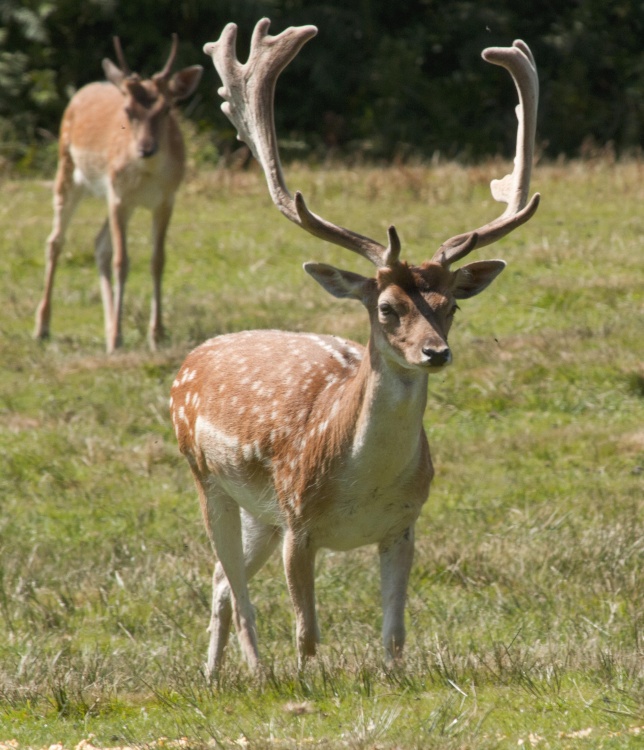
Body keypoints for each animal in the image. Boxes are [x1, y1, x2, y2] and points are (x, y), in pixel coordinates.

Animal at [34, 35, 203, 353]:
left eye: (167, 110)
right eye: (128, 111)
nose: (146, 148)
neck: (148, 175)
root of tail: (84, 89)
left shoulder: (166, 199)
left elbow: (157, 260)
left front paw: (156, 335)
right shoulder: (118, 195)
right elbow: (122, 262)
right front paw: (116, 338)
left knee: (99, 244)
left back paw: (109, 324)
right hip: (67, 169)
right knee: (55, 240)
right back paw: (43, 327)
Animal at [170, 18, 539, 676]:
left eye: (452, 306)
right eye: (387, 308)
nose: (436, 353)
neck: (360, 486)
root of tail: (190, 359)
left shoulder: (403, 525)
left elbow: (394, 634)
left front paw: (392, 678)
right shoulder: (299, 521)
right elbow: (307, 632)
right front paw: (305, 681)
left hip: (259, 510)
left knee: (218, 579)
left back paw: (211, 676)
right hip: (208, 479)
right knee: (236, 589)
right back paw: (253, 673)